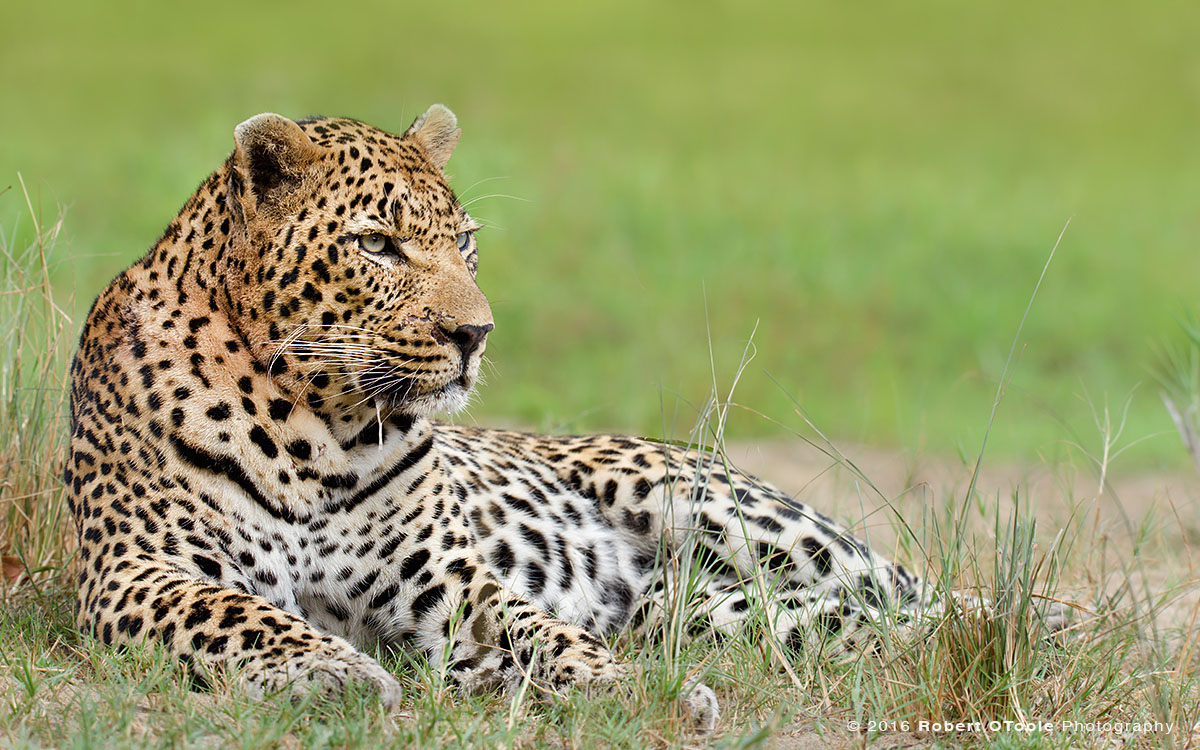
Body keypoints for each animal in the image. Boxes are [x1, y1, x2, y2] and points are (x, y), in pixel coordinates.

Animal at [68, 103, 936, 724]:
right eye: (377, 245)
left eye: (464, 242)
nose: (475, 334)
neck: (317, 428)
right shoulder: (136, 570)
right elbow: (241, 613)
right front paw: (335, 669)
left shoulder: (447, 580)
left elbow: (545, 629)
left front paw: (641, 693)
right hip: (728, 616)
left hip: (724, 509)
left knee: (923, 596)